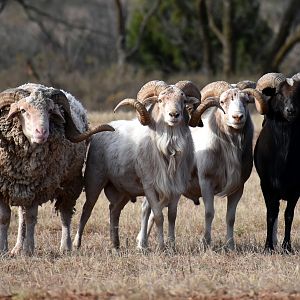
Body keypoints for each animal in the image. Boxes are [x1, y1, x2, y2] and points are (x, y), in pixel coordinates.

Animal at [0, 83, 113, 254]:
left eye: (50, 111)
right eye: (22, 110)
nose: (41, 132)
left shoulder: (37, 187)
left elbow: (31, 217)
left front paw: (29, 250)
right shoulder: (4, 188)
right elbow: (5, 218)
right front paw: (4, 250)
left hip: (71, 182)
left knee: (65, 213)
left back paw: (65, 247)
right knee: (21, 216)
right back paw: (18, 248)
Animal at [71, 79, 219, 251]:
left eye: (183, 100)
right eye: (160, 100)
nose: (174, 115)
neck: (168, 152)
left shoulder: (175, 189)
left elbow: (172, 217)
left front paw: (172, 246)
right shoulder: (150, 188)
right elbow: (159, 216)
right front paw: (161, 247)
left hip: (123, 192)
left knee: (114, 211)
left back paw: (116, 246)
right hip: (94, 182)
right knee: (86, 210)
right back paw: (76, 244)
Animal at [137, 79, 266, 248]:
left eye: (245, 101)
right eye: (222, 102)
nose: (238, 117)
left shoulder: (238, 188)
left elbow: (230, 217)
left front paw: (230, 245)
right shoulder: (206, 183)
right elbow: (209, 213)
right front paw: (206, 242)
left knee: (154, 212)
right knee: (146, 209)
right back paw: (142, 244)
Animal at [254, 72, 300, 253]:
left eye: (298, 93)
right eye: (279, 93)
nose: (291, 110)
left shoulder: (295, 188)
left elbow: (289, 215)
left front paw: (287, 246)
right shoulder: (266, 186)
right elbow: (271, 215)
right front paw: (268, 247)